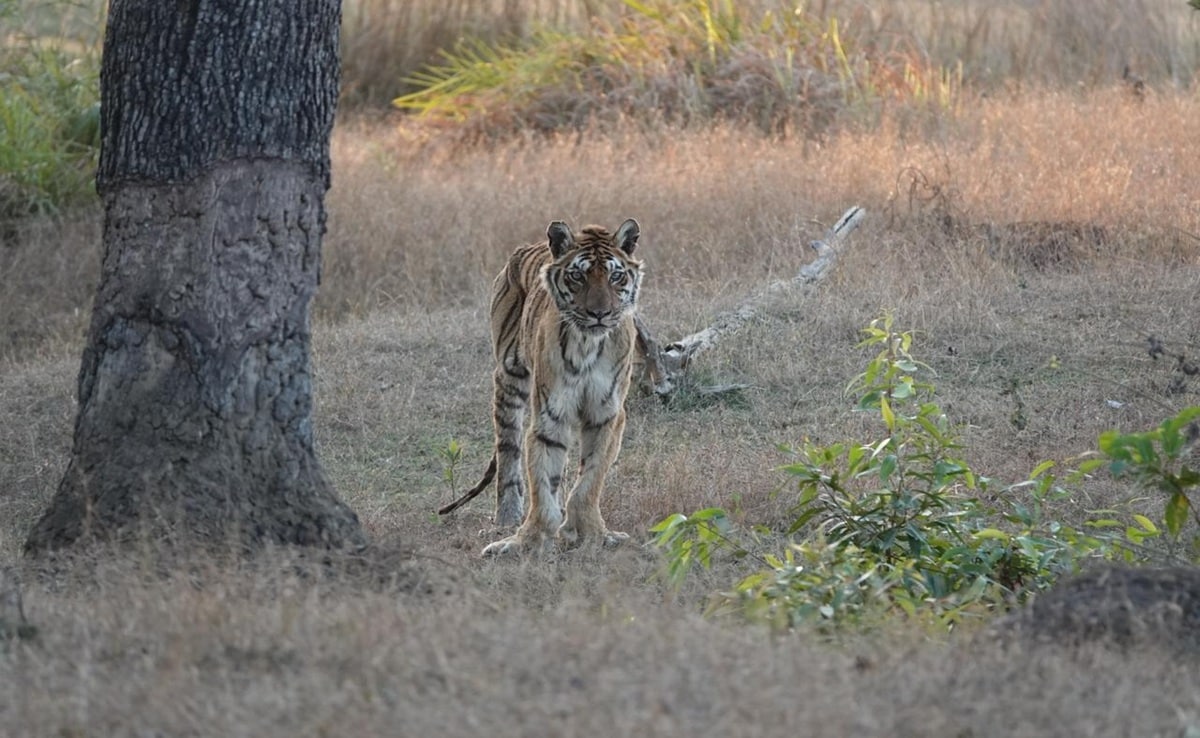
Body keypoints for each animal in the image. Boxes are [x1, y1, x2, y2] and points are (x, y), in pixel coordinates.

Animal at [470, 218, 643, 557]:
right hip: (509, 378)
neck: (589, 343)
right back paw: (507, 517)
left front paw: (593, 534)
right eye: (578, 276)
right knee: (509, 453)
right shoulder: (551, 414)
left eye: (616, 276)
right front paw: (528, 540)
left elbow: (589, 480)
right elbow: (542, 481)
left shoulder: (607, 414)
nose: (599, 313)